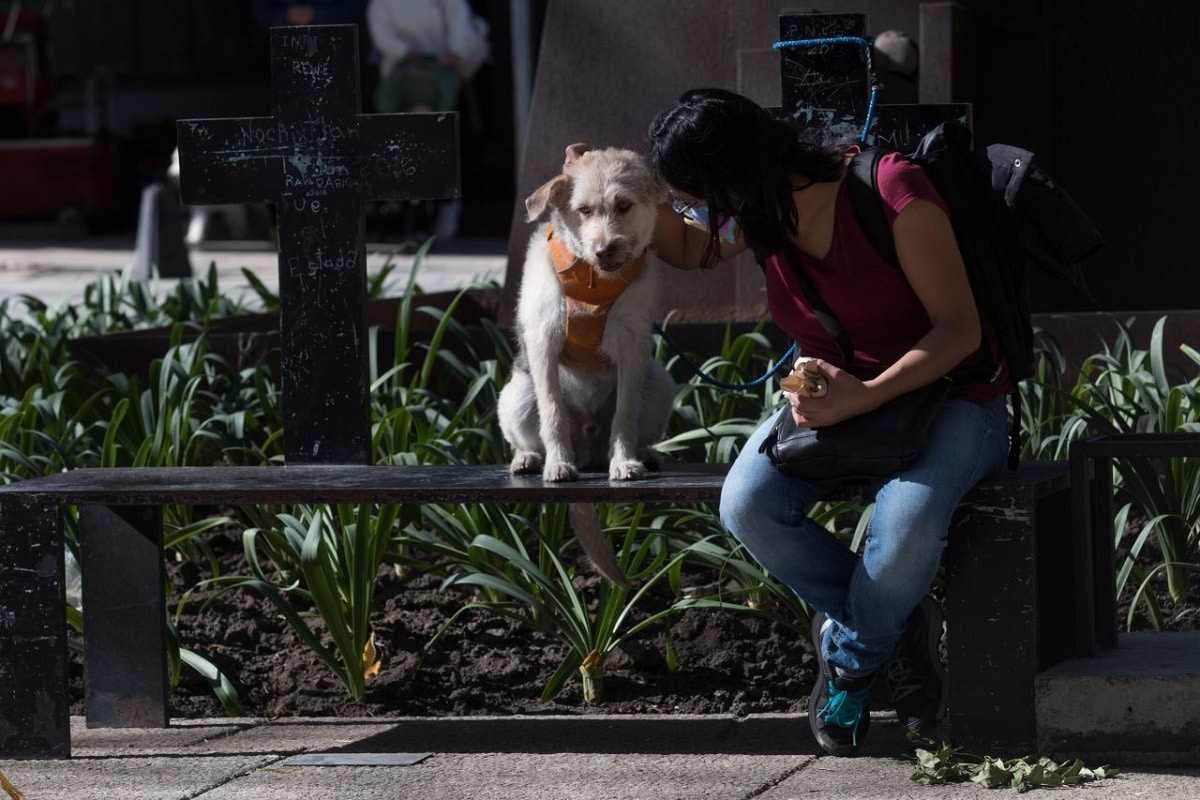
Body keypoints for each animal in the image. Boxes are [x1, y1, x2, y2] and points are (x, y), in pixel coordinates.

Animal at [499, 143, 681, 585]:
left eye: (624, 205)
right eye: (583, 210)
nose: (604, 249)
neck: (592, 280)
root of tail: (588, 449)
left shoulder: (634, 345)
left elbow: (624, 415)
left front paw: (625, 460)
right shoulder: (543, 339)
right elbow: (552, 412)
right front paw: (557, 462)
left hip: (660, 381)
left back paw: (642, 454)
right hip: (515, 394)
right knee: (527, 432)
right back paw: (530, 458)